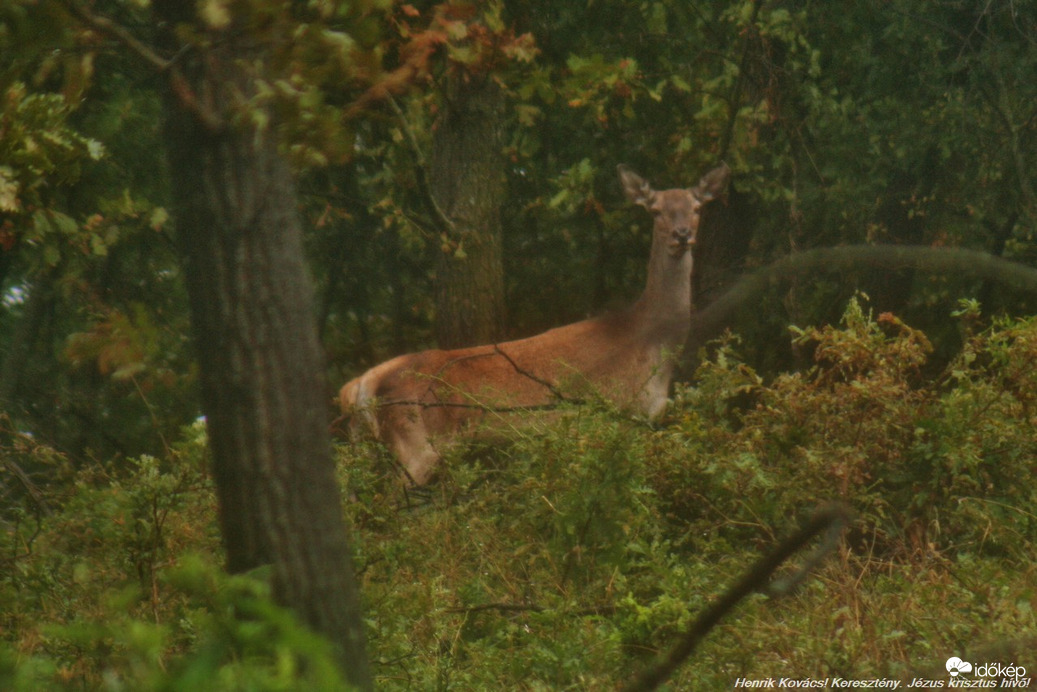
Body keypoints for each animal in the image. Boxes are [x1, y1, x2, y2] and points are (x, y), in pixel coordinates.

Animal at [340, 164, 730, 485]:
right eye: (655, 210)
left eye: (697, 207)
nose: (682, 233)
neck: (650, 345)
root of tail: (363, 383)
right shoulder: (615, 412)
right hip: (416, 444)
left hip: (367, 445)